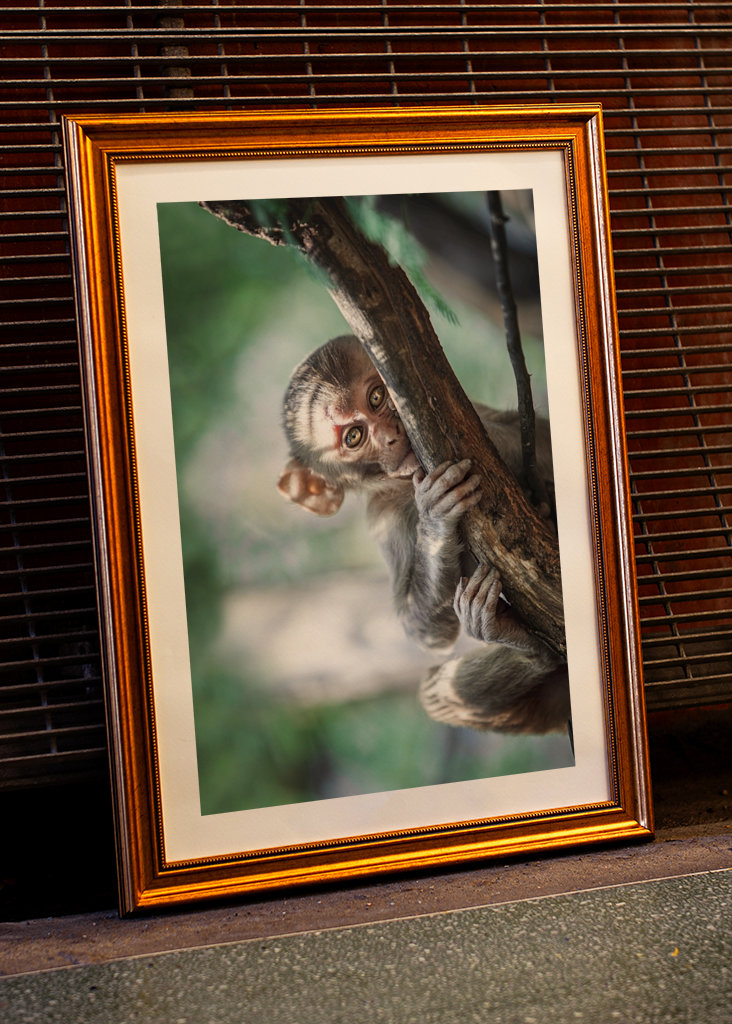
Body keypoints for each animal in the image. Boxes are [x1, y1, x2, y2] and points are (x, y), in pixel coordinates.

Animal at [277, 334, 571, 737]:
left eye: (376, 397)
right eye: (354, 436)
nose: (391, 435)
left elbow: (541, 434)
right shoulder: (384, 520)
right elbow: (425, 632)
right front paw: (434, 519)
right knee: (436, 694)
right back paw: (524, 645)